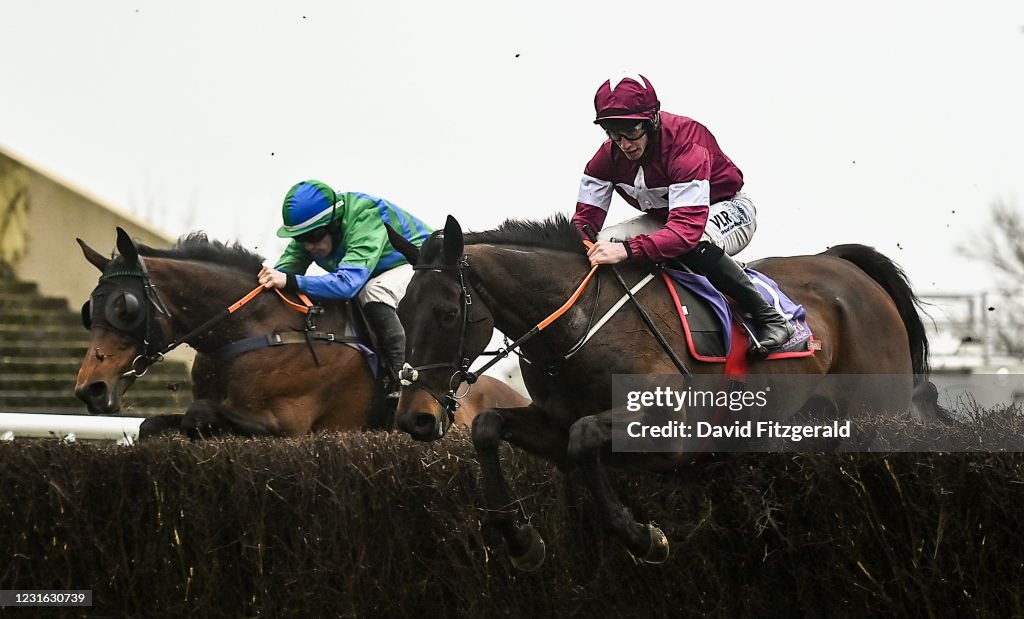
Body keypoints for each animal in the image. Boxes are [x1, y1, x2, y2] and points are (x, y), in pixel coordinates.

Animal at [74, 227, 528, 439]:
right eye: (89, 311)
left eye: (125, 308)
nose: (90, 389)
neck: (255, 329)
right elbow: (152, 425)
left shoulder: (286, 422)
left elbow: (197, 415)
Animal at [388, 214, 941, 570]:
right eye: (400, 312)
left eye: (447, 313)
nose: (415, 417)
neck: (579, 325)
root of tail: (844, 265)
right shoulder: (551, 423)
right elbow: (491, 427)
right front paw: (523, 542)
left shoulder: (671, 435)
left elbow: (586, 437)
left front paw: (643, 538)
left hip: (875, 413)